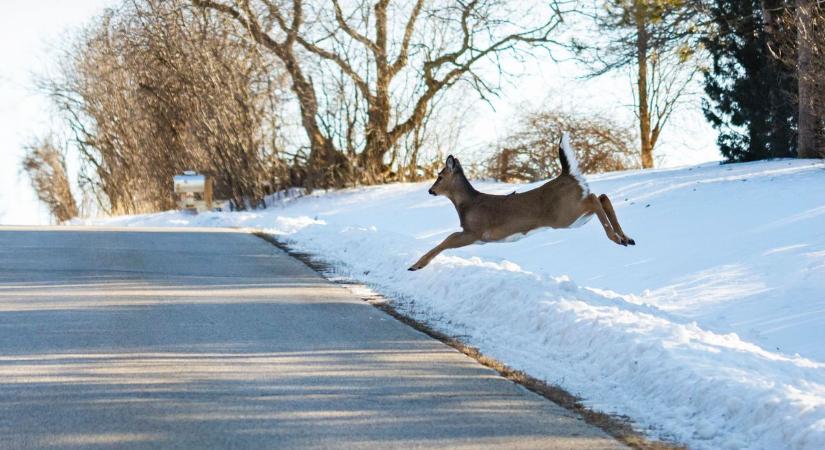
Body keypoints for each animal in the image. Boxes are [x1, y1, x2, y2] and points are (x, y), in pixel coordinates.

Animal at [408, 132, 636, 272]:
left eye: (440, 176)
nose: (431, 190)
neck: (468, 204)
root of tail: (567, 174)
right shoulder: (475, 235)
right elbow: (446, 240)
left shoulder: (475, 232)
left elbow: (446, 240)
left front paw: (416, 265)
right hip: (575, 217)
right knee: (601, 197)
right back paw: (626, 238)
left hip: (565, 214)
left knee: (594, 199)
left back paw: (617, 238)